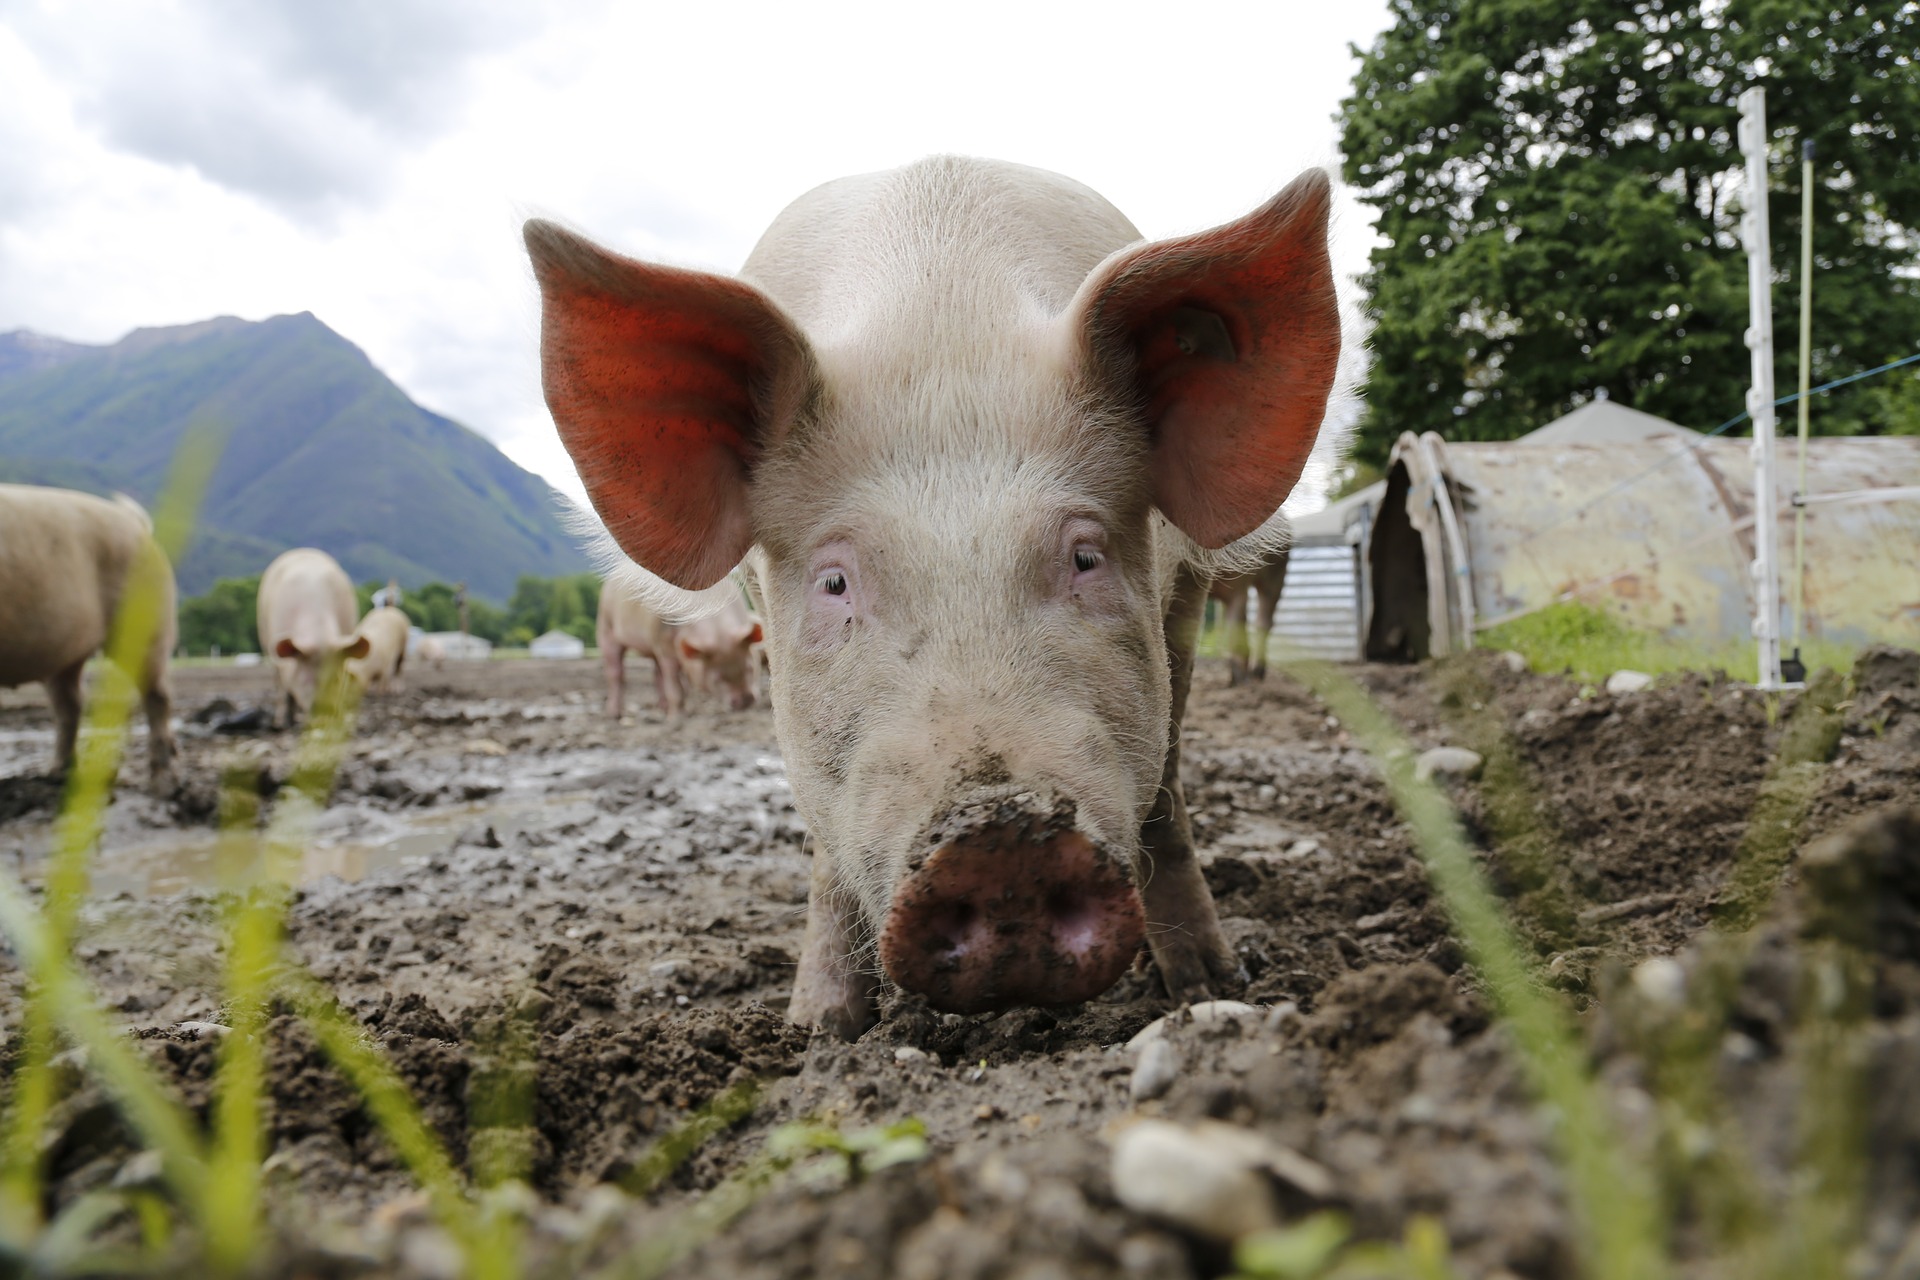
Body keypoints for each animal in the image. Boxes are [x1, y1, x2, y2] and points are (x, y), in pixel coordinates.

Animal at [0, 487, 179, 794]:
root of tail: (134, 520)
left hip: (148, 625)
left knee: (158, 696)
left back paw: (163, 784)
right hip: (66, 655)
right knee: (70, 703)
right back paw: (57, 774)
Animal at [595, 571, 760, 721]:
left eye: (749, 668)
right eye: (718, 678)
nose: (745, 700)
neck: (718, 631)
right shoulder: (664, 645)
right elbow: (675, 686)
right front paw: (676, 719)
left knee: (657, 674)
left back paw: (662, 707)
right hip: (606, 626)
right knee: (616, 673)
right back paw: (614, 715)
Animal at [1205, 552, 1297, 690]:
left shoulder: (1238, 586)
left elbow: (1237, 629)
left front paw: (1241, 682)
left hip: (1277, 570)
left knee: (1263, 621)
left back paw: (1256, 673)